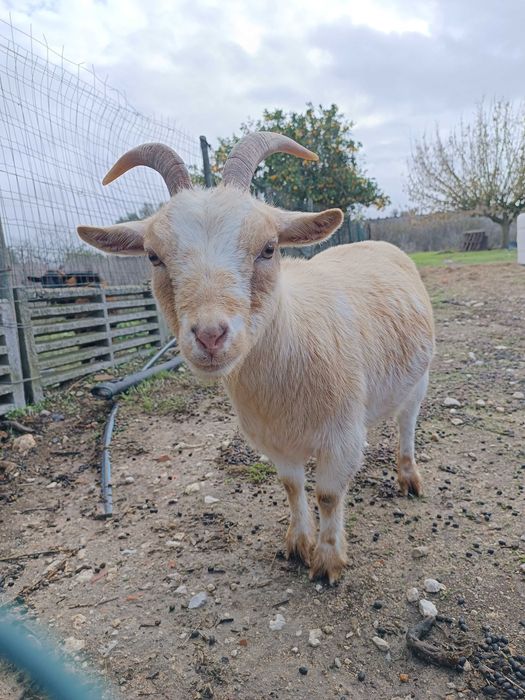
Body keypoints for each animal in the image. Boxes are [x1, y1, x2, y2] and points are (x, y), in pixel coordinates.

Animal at [78, 133, 435, 583]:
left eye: (268, 248)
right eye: (153, 256)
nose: (210, 335)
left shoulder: (342, 438)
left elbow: (329, 495)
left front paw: (328, 562)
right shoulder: (274, 440)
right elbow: (292, 487)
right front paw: (298, 545)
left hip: (419, 379)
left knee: (407, 424)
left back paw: (409, 478)